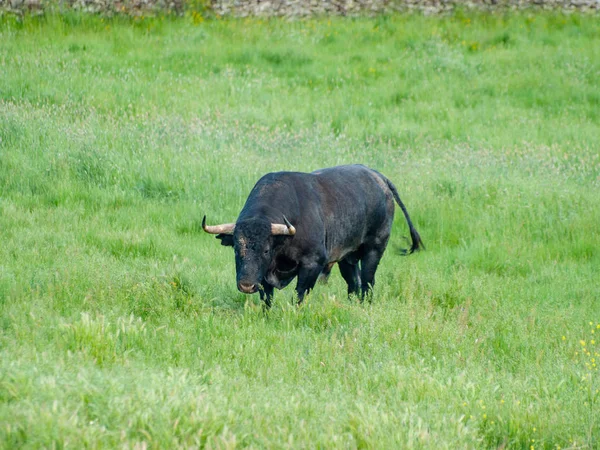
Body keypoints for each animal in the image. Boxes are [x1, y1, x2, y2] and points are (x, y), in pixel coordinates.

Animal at [203, 165, 422, 306]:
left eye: (265, 250)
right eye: (237, 249)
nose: (247, 285)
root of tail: (379, 178)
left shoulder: (312, 264)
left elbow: (299, 295)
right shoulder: (264, 277)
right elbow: (267, 298)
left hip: (374, 249)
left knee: (368, 282)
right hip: (346, 258)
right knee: (354, 283)